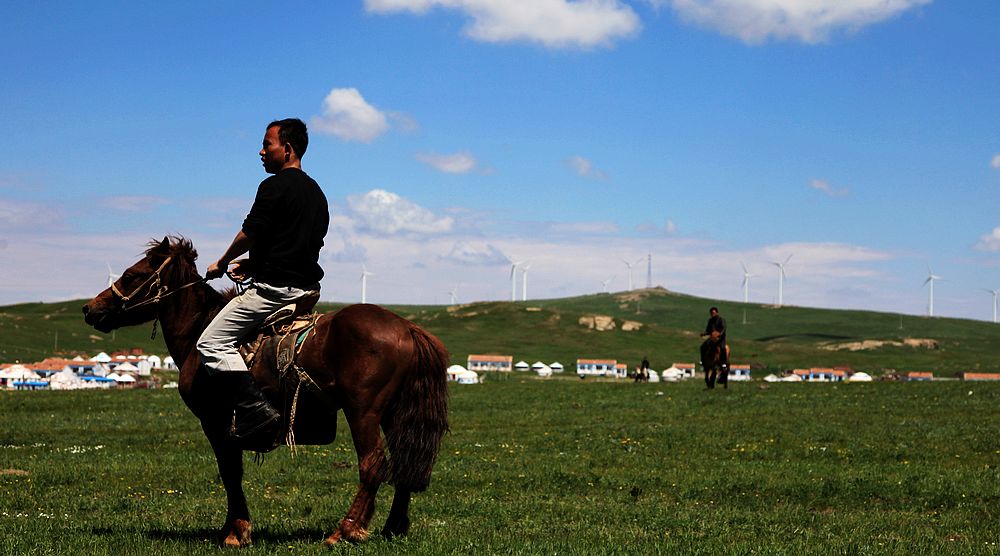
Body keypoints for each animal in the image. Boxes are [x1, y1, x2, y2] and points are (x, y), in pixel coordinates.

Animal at [82, 236, 450, 548]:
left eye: (132, 275)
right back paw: (392, 528)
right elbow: (232, 474)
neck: (198, 330)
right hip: (394, 412)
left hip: (364, 412)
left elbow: (230, 473)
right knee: (403, 461)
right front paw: (230, 529)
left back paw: (345, 531)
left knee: (372, 464)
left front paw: (237, 533)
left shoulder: (216, 422)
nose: (89, 308)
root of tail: (407, 327)